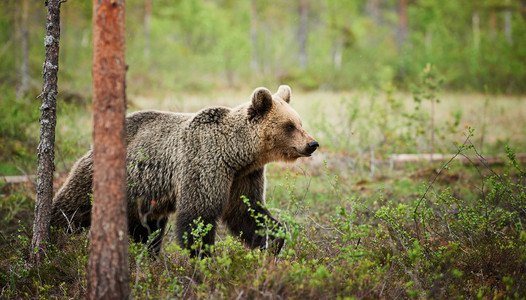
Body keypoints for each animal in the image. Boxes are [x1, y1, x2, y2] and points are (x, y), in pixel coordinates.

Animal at [51, 85, 320, 256]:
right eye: (289, 126)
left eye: (300, 123)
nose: (312, 144)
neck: (236, 153)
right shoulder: (204, 163)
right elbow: (197, 215)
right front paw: (204, 257)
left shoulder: (243, 176)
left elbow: (247, 211)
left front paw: (273, 240)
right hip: (105, 177)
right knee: (73, 207)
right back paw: (54, 236)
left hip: (145, 197)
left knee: (147, 231)